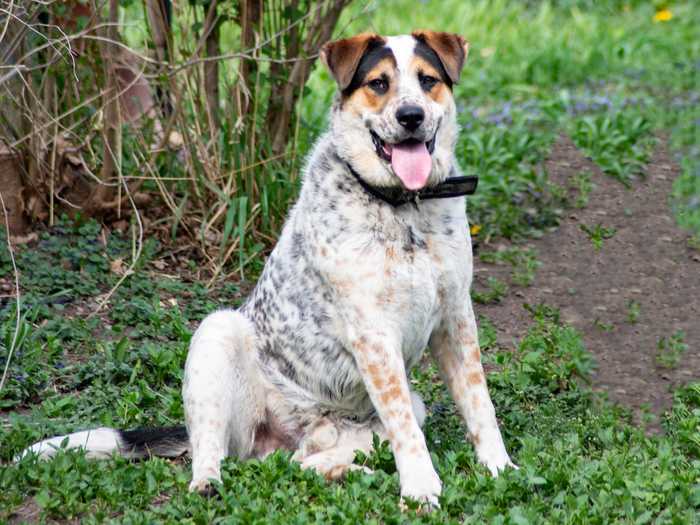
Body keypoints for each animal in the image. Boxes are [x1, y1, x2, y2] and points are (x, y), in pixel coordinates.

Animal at [23, 30, 516, 506]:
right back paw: (209, 482)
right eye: (379, 84)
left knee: (304, 461)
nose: (411, 115)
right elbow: (407, 432)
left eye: (427, 80)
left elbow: (479, 402)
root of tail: (296, 430)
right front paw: (420, 488)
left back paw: (353, 473)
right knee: (211, 450)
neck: (404, 208)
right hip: (217, 338)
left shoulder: (455, 318)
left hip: (397, 410)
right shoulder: (374, 336)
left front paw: (500, 468)